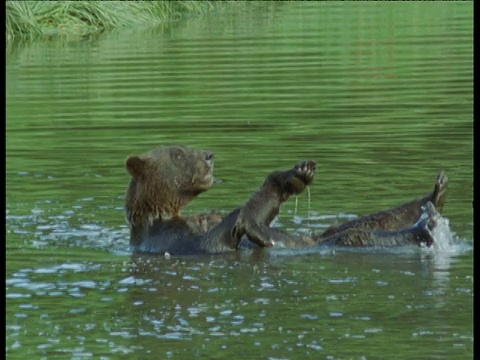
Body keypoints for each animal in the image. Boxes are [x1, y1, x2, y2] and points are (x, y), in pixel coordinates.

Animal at [124, 145, 446, 255]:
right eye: (177, 154)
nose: (208, 155)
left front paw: (298, 172)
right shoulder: (170, 236)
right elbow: (215, 239)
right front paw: (249, 225)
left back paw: (435, 196)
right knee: (355, 236)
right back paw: (426, 227)